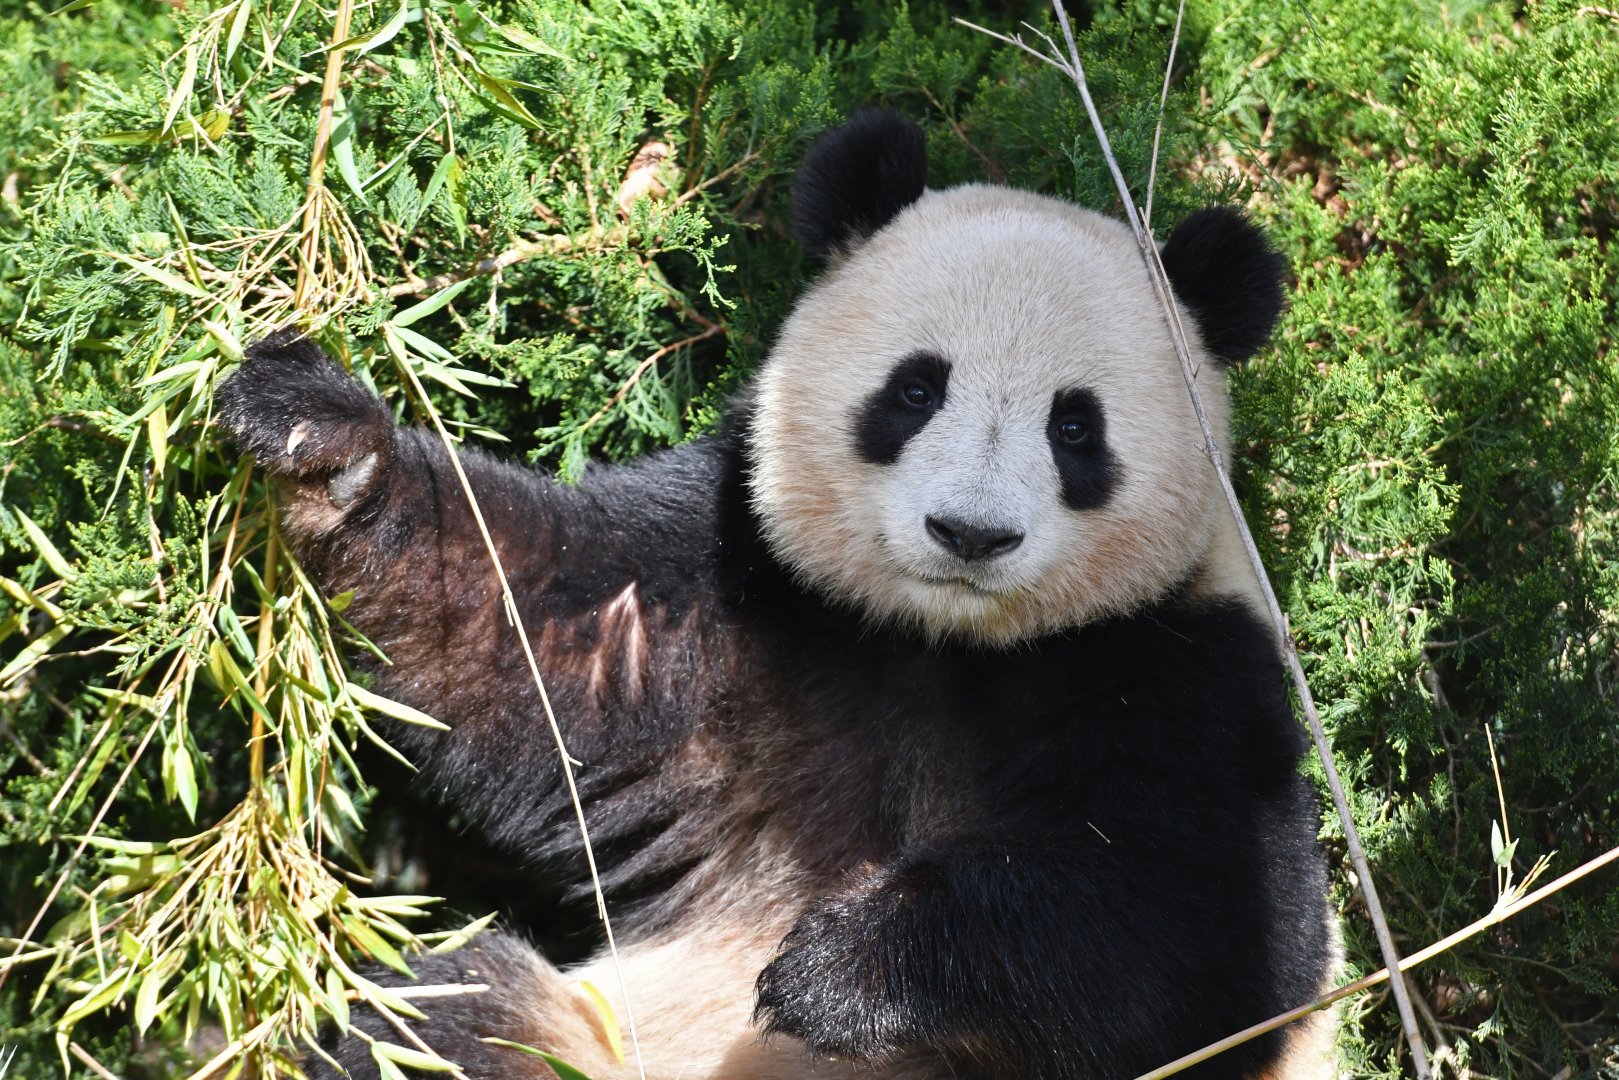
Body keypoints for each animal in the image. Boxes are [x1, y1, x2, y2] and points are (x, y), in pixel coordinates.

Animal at [217, 110, 1337, 1080]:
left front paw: (848, 971)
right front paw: (326, 443)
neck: (946, 641)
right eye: (915, 390)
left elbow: (1194, 937)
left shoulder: (1182, 666)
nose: (970, 534)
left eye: (1074, 428)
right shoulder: (751, 609)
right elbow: (541, 629)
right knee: (443, 1026)